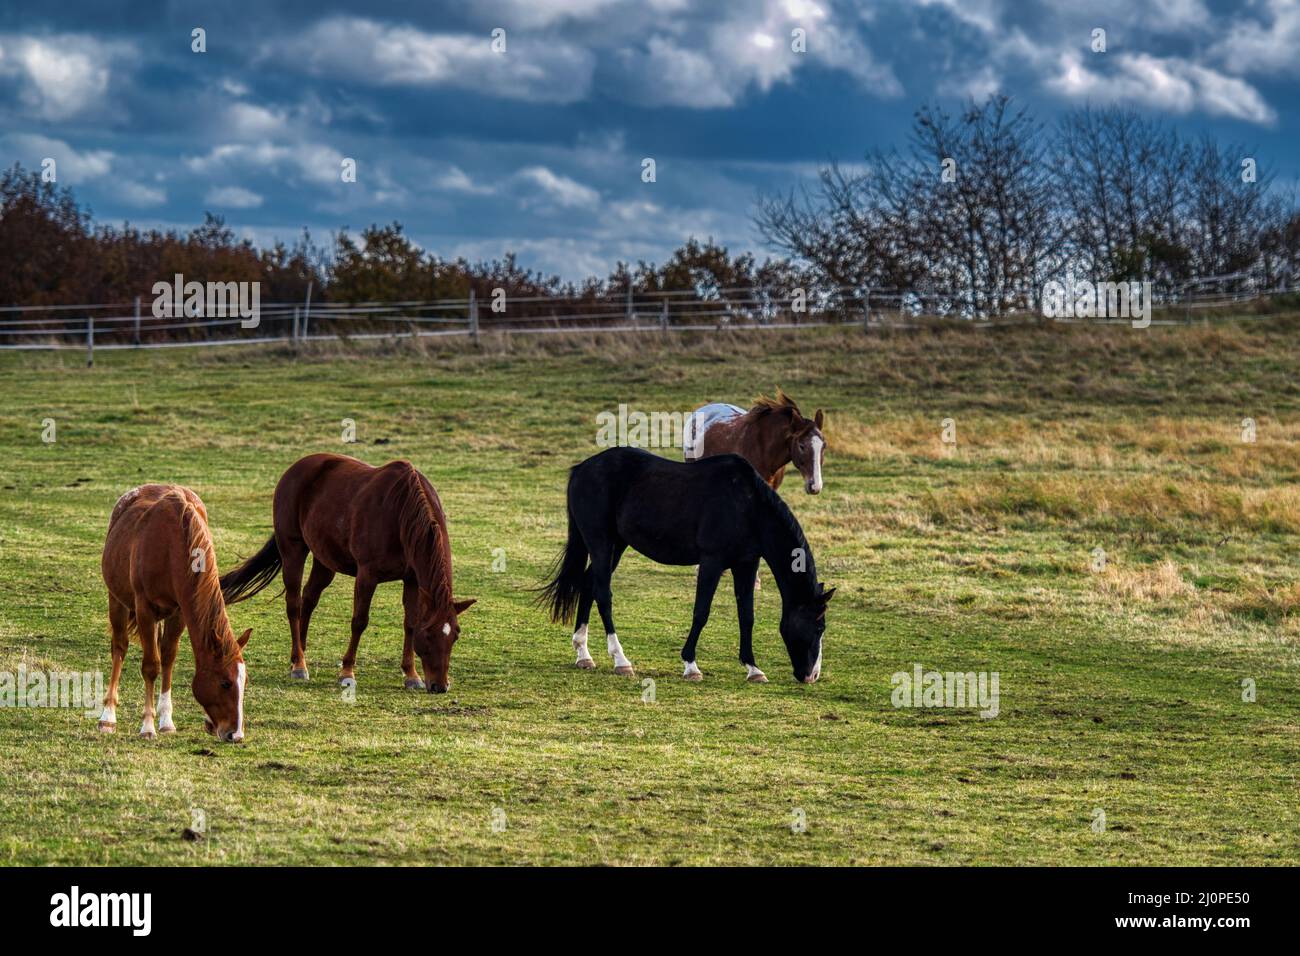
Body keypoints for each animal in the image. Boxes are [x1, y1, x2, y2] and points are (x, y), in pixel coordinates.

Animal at [99, 485, 251, 741]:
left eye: (244, 681)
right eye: (225, 683)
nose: (236, 734)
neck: (172, 547)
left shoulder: (180, 612)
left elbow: (168, 658)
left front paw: (166, 721)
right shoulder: (145, 609)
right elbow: (151, 666)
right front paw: (148, 726)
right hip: (117, 601)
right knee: (119, 647)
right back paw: (108, 716)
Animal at [219, 453, 475, 694]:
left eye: (456, 635)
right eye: (429, 635)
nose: (440, 686)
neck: (401, 513)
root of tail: (295, 469)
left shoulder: (412, 579)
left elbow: (410, 623)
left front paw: (411, 675)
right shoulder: (367, 575)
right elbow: (359, 621)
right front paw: (347, 672)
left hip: (324, 558)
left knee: (309, 598)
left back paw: (299, 653)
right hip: (293, 549)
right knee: (294, 603)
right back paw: (299, 664)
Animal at [539, 447, 834, 683]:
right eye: (819, 627)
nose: (812, 676)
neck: (748, 506)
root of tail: (582, 469)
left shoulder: (746, 564)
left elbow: (747, 616)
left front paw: (753, 668)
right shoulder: (712, 562)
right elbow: (701, 612)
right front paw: (691, 665)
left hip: (617, 545)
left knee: (589, 585)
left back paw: (583, 654)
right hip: (600, 542)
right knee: (602, 593)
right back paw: (621, 660)